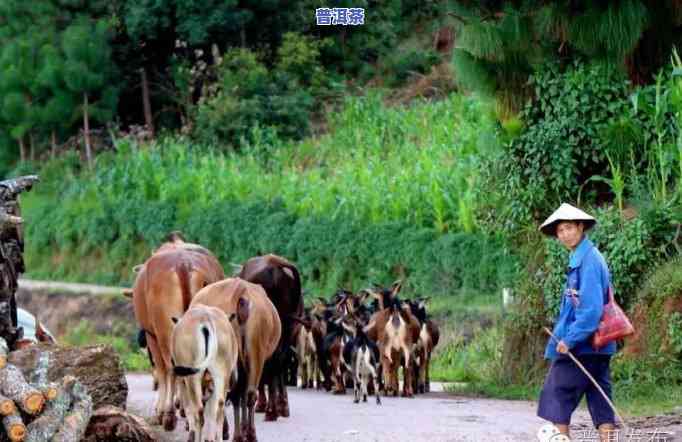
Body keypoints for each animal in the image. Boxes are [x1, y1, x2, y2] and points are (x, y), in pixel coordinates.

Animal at [133, 233, 226, 430]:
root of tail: (183, 264)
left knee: (171, 368)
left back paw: (169, 415)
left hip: (165, 333)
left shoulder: (151, 335)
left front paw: (161, 411)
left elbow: (161, 371)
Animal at [189, 280, 278, 442]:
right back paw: (248, 434)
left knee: (235, 394)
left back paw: (238, 434)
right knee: (247, 394)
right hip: (256, 351)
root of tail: (240, 291)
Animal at [239, 254, 302, 420]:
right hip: (287, 328)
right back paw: (280, 407)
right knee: (280, 362)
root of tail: (277, 266)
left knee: (270, 363)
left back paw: (270, 409)